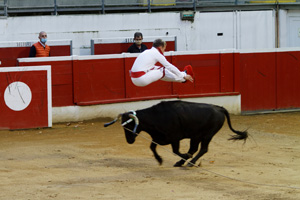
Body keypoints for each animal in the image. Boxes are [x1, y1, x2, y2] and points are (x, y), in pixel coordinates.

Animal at [104, 100, 247, 167]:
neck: (156, 117)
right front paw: (159, 160)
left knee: (203, 149)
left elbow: (176, 151)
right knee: (195, 148)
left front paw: (184, 156)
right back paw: (183, 162)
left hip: (207, 135)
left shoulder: (175, 138)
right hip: (195, 136)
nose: (129, 141)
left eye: (129, 125)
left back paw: (189, 161)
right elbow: (152, 147)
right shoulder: (158, 137)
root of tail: (220, 108)